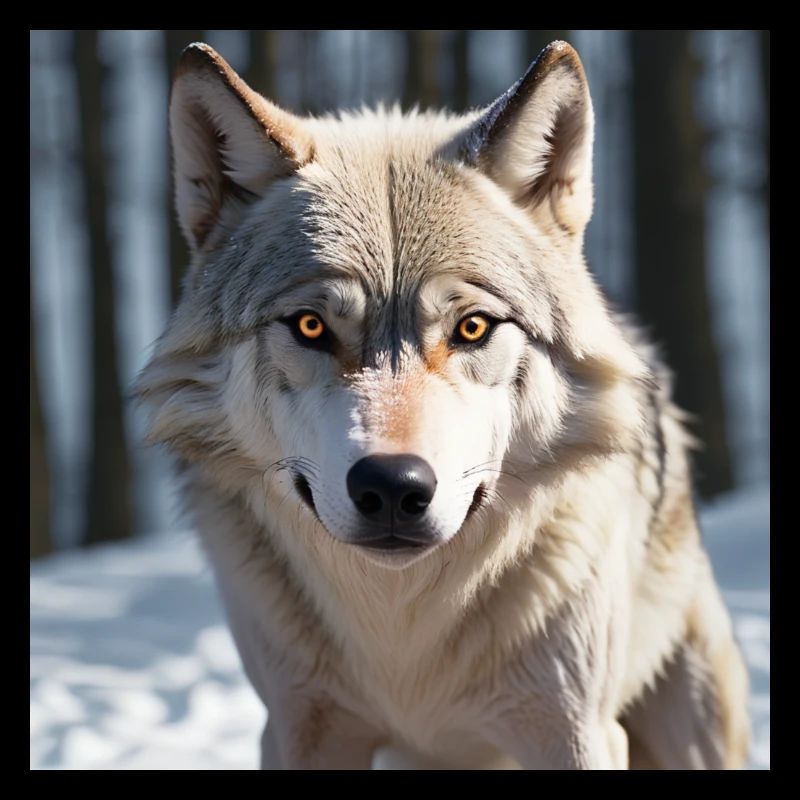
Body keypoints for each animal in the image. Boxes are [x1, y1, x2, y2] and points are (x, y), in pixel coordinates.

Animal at [136, 40, 750, 769]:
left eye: (474, 327)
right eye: (311, 326)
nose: (392, 487)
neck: (403, 634)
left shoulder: (576, 731)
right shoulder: (298, 726)